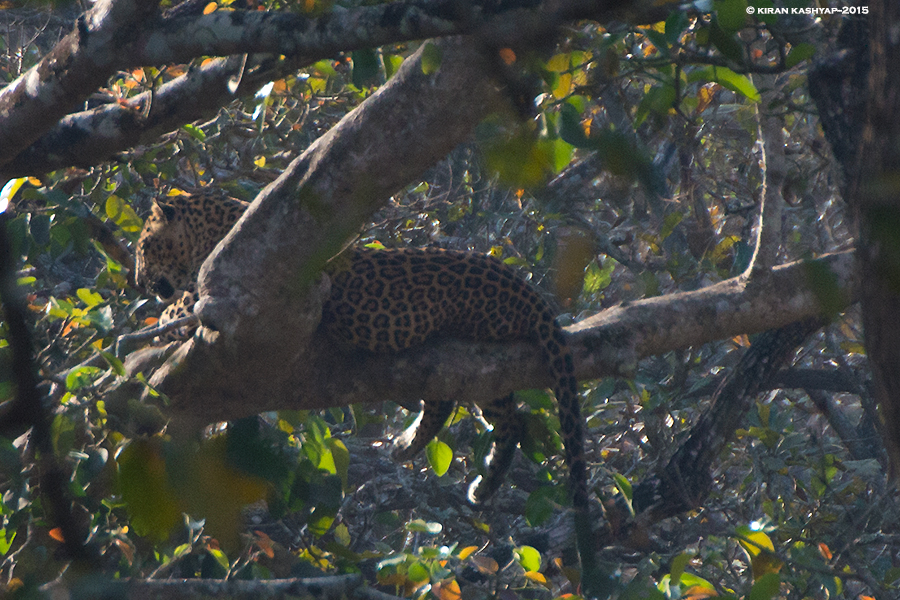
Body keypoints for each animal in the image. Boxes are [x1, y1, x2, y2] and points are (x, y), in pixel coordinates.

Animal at [134, 192, 600, 592]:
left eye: (144, 247)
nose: (138, 282)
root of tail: (527, 289)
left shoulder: (223, 296)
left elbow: (178, 309)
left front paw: (150, 326)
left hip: (475, 339)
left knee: (474, 406)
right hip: (476, 369)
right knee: (497, 414)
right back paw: (459, 472)